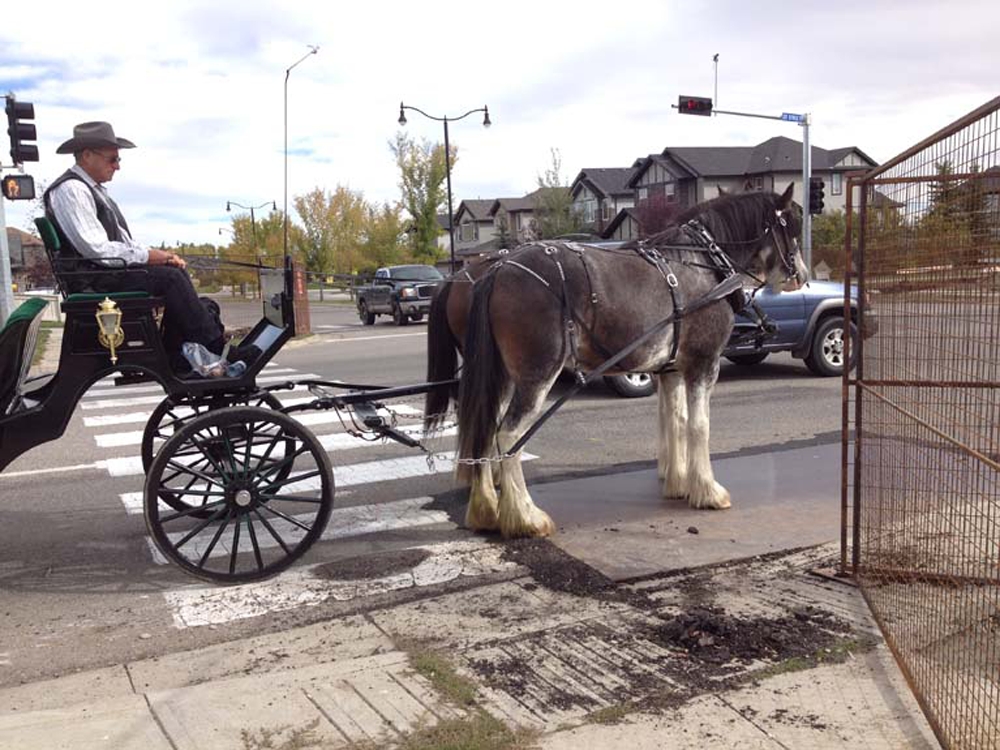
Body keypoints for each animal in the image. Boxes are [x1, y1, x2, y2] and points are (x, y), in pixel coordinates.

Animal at [425, 185, 807, 538]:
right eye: (791, 225)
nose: (801, 275)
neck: (703, 265)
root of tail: (496, 270)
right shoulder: (703, 362)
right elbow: (699, 425)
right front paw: (708, 491)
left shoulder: (671, 369)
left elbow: (676, 421)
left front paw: (678, 482)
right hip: (537, 375)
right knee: (508, 435)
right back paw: (525, 517)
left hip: (501, 376)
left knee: (483, 429)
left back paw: (485, 510)